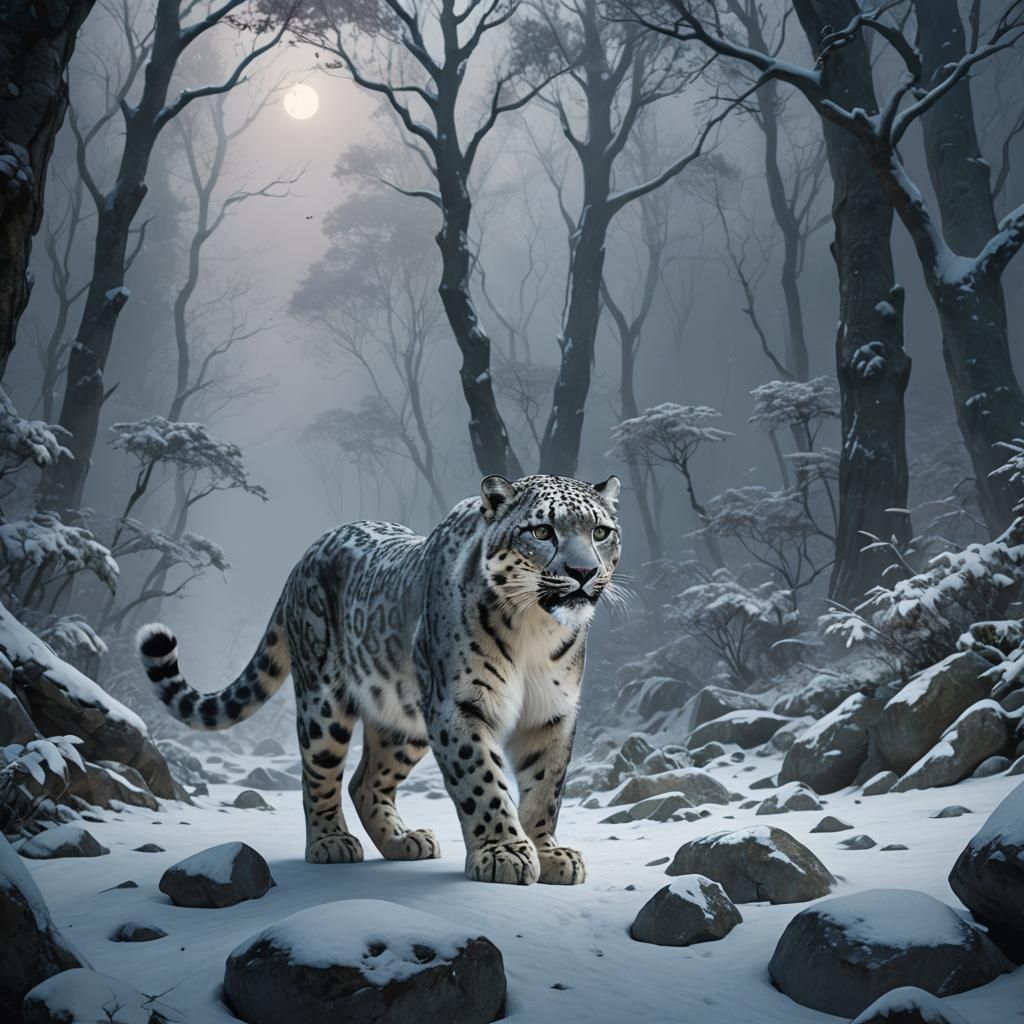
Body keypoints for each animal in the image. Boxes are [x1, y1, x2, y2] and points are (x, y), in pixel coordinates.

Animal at [137, 473, 622, 885]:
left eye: (600, 532)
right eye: (542, 532)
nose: (584, 573)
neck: (536, 632)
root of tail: (307, 553)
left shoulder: (553, 712)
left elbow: (546, 787)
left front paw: (548, 853)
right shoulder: (458, 704)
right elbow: (482, 781)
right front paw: (503, 853)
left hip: (403, 720)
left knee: (365, 780)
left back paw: (404, 841)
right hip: (324, 703)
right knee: (321, 773)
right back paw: (332, 842)